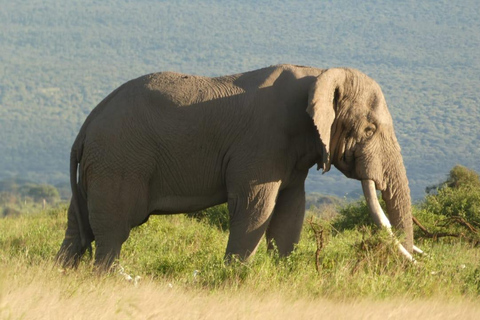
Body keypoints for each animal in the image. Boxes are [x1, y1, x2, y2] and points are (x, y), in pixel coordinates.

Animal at [56, 64, 420, 270]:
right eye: (369, 130)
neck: (319, 74)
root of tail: (86, 125)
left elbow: (290, 213)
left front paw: (282, 276)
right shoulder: (261, 143)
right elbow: (255, 208)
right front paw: (234, 279)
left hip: (102, 163)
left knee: (78, 229)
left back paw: (64, 275)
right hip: (119, 161)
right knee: (112, 232)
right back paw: (109, 279)